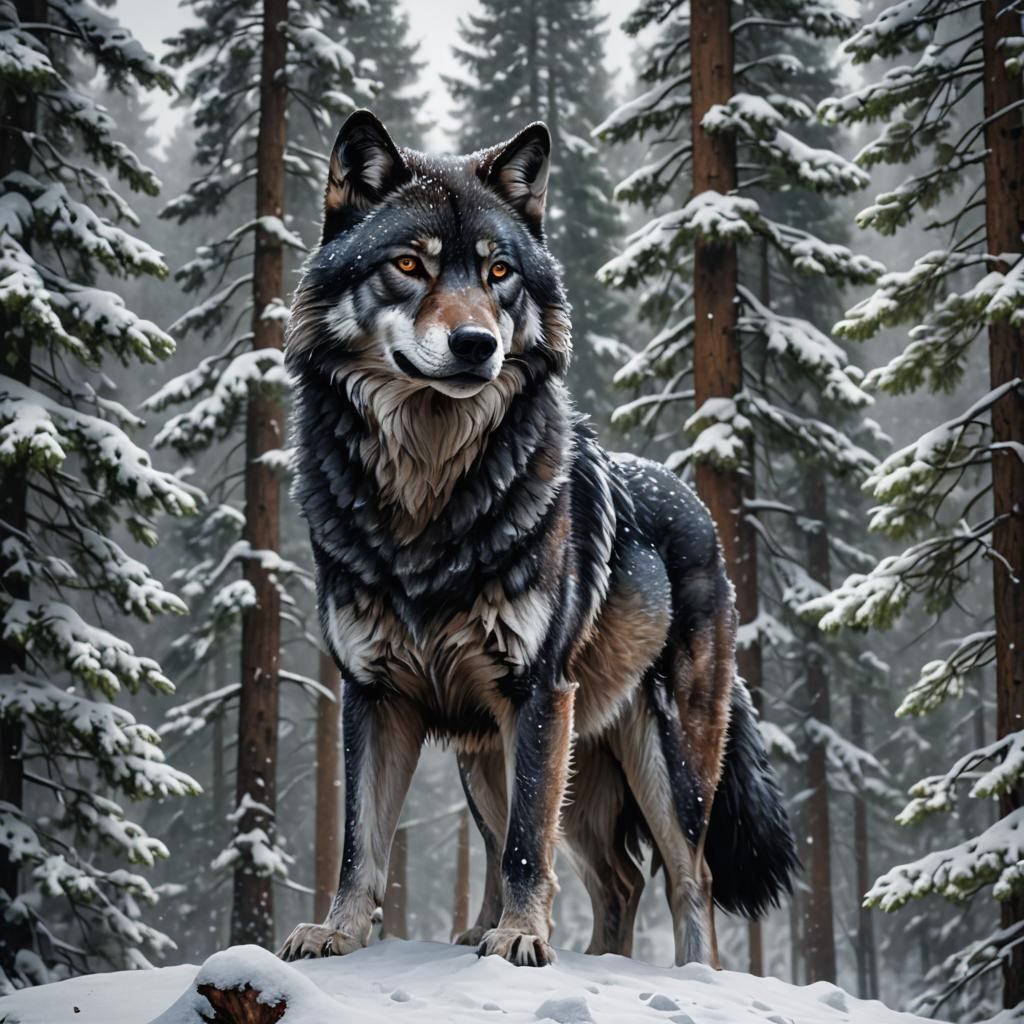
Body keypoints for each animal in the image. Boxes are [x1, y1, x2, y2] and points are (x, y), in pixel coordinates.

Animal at [278, 110, 797, 968]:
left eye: (498, 274)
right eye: (409, 265)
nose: (476, 346)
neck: (427, 500)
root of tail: (700, 512)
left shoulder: (538, 690)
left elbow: (527, 846)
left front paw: (520, 937)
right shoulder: (372, 692)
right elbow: (361, 843)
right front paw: (337, 933)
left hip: (659, 757)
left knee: (687, 878)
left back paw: (689, 974)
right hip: (495, 759)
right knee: (613, 877)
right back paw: (550, 946)